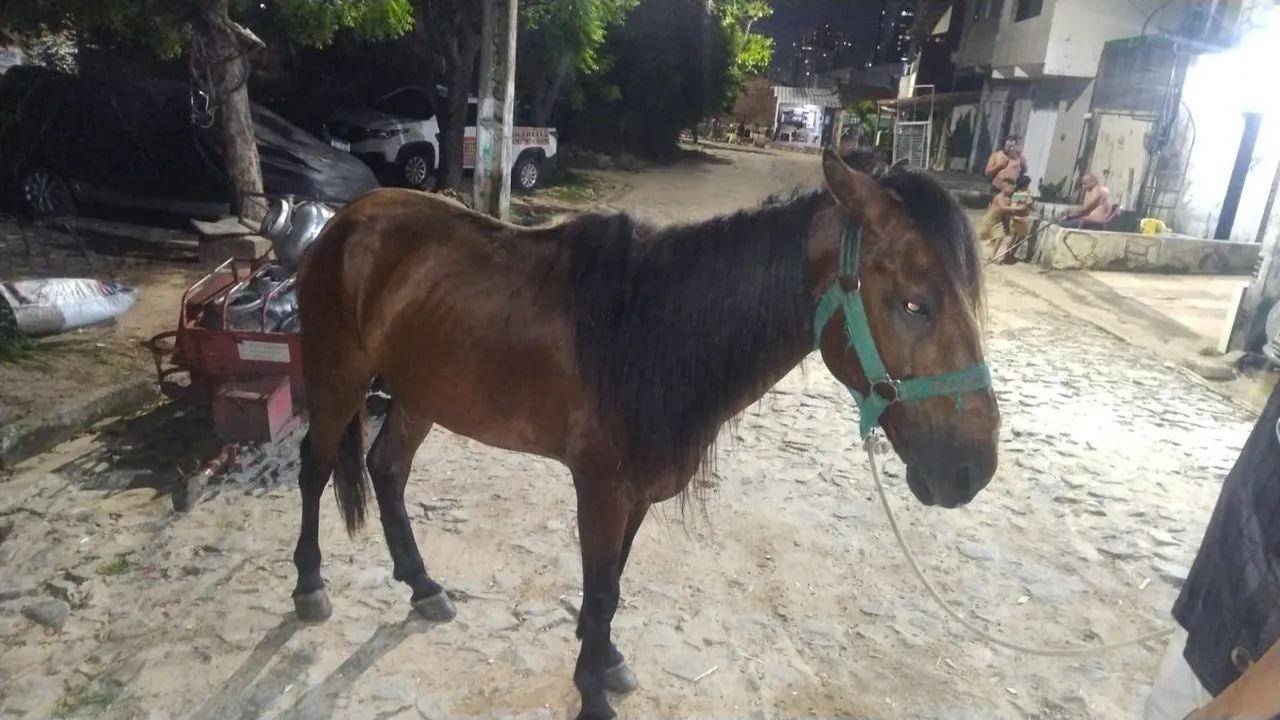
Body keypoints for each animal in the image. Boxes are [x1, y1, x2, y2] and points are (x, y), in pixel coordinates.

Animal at [289, 149, 1000, 720]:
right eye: (914, 303)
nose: (973, 469)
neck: (651, 329)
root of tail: (349, 218)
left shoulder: (636, 493)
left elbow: (612, 586)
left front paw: (605, 663)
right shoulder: (601, 490)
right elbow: (601, 588)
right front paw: (592, 692)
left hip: (420, 393)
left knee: (387, 470)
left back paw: (423, 586)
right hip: (338, 377)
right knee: (314, 468)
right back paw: (309, 586)